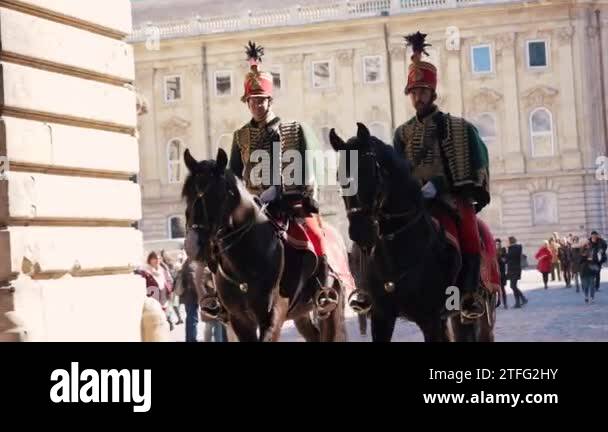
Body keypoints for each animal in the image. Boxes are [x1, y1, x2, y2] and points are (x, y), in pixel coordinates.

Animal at [180, 148, 346, 340]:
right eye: (186, 195)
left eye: (216, 195)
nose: (192, 245)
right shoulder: (239, 320)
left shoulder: (273, 315)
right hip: (301, 314)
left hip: (330, 309)